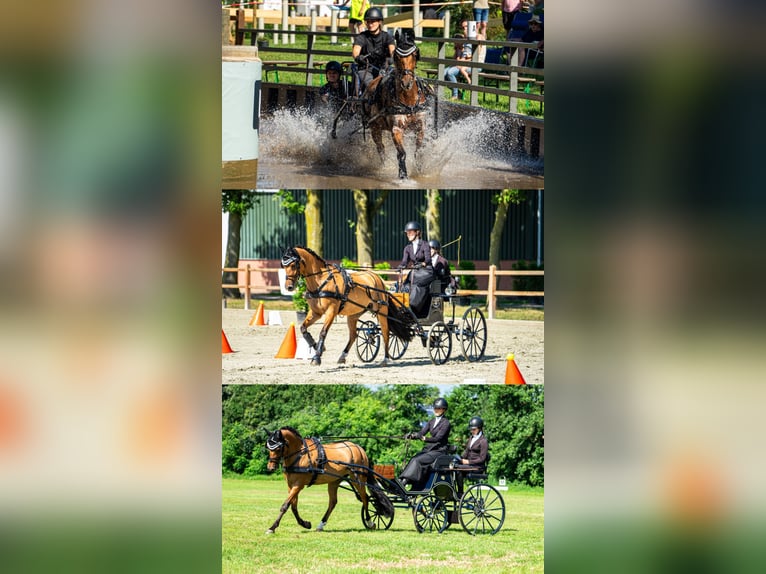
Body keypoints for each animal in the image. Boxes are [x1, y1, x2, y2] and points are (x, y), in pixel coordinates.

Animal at [266, 428, 396, 536]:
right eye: (268, 448)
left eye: (278, 448)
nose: (271, 467)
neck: (300, 454)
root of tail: (358, 448)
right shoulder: (291, 485)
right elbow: (293, 506)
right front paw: (305, 524)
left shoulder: (298, 485)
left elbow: (285, 506)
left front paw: (272, 528)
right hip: (335, 481)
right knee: (333, 502)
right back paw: (321, 525)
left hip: (357, 479)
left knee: (365, 498)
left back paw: (370, 522)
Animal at [282, 245, 416, 366]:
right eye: (284, 266)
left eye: (293, 265)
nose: (289, 287)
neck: (322, 280)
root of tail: (377, 277)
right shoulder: (316, 312)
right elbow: (303, 328)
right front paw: (318, 347)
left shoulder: (331, 311)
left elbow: (323, 332)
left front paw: (317, 357)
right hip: (354, 314)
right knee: (353, 335)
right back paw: (342, 356)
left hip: (381, 311)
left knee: (385, 332)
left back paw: (386, 359)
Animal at [364, 31, 432, 178]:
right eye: (396, 55)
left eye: (415, 54)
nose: (406, 82)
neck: (409, 102)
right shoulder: (396, 129)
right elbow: (402, 154)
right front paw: (403, 175)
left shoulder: (420, 126)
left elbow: (418, 152)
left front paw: (419, 171)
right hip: (374, 128)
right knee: (381, 149)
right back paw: (383, 166)